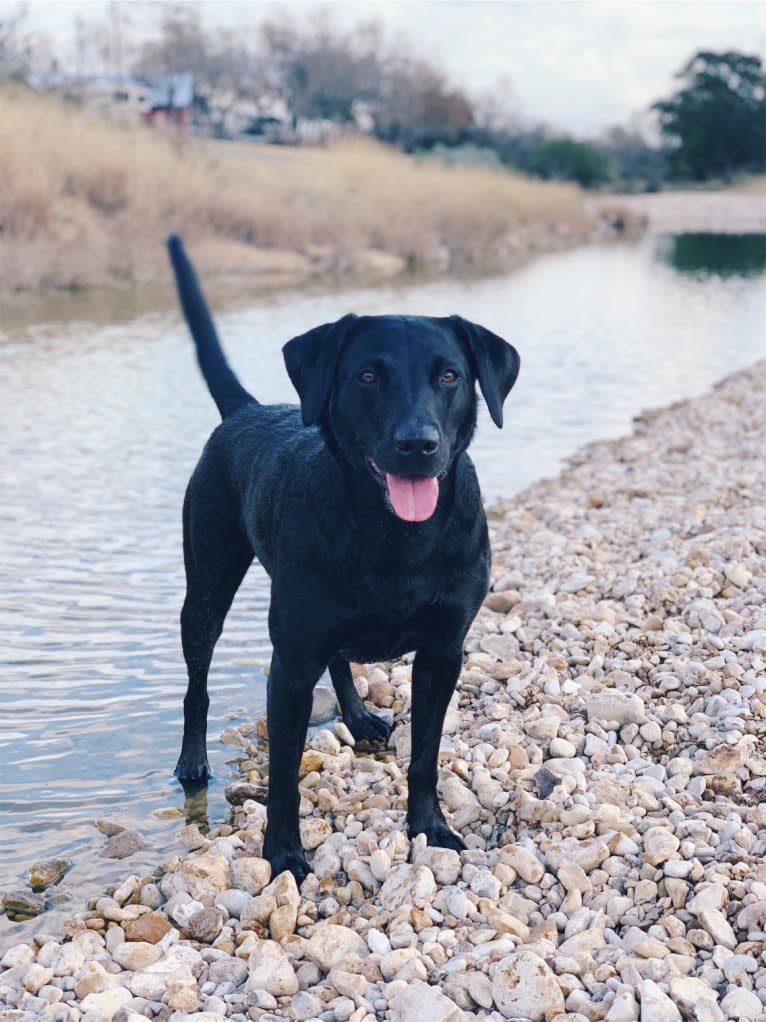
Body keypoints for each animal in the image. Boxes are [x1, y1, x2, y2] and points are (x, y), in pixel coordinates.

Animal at [167, 237, 522, 878]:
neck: (396, 537)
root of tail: (245, 410)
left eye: (450, 375)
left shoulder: (443, 651)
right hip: (205, 585)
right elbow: (284, 774)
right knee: (197, 682)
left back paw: (358, 718)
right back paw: (192, 761)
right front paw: (283, 855)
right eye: (367, 375)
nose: (417, 445)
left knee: (339, 660)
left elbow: (425, 753)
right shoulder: (290, 662)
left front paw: (430, 827)